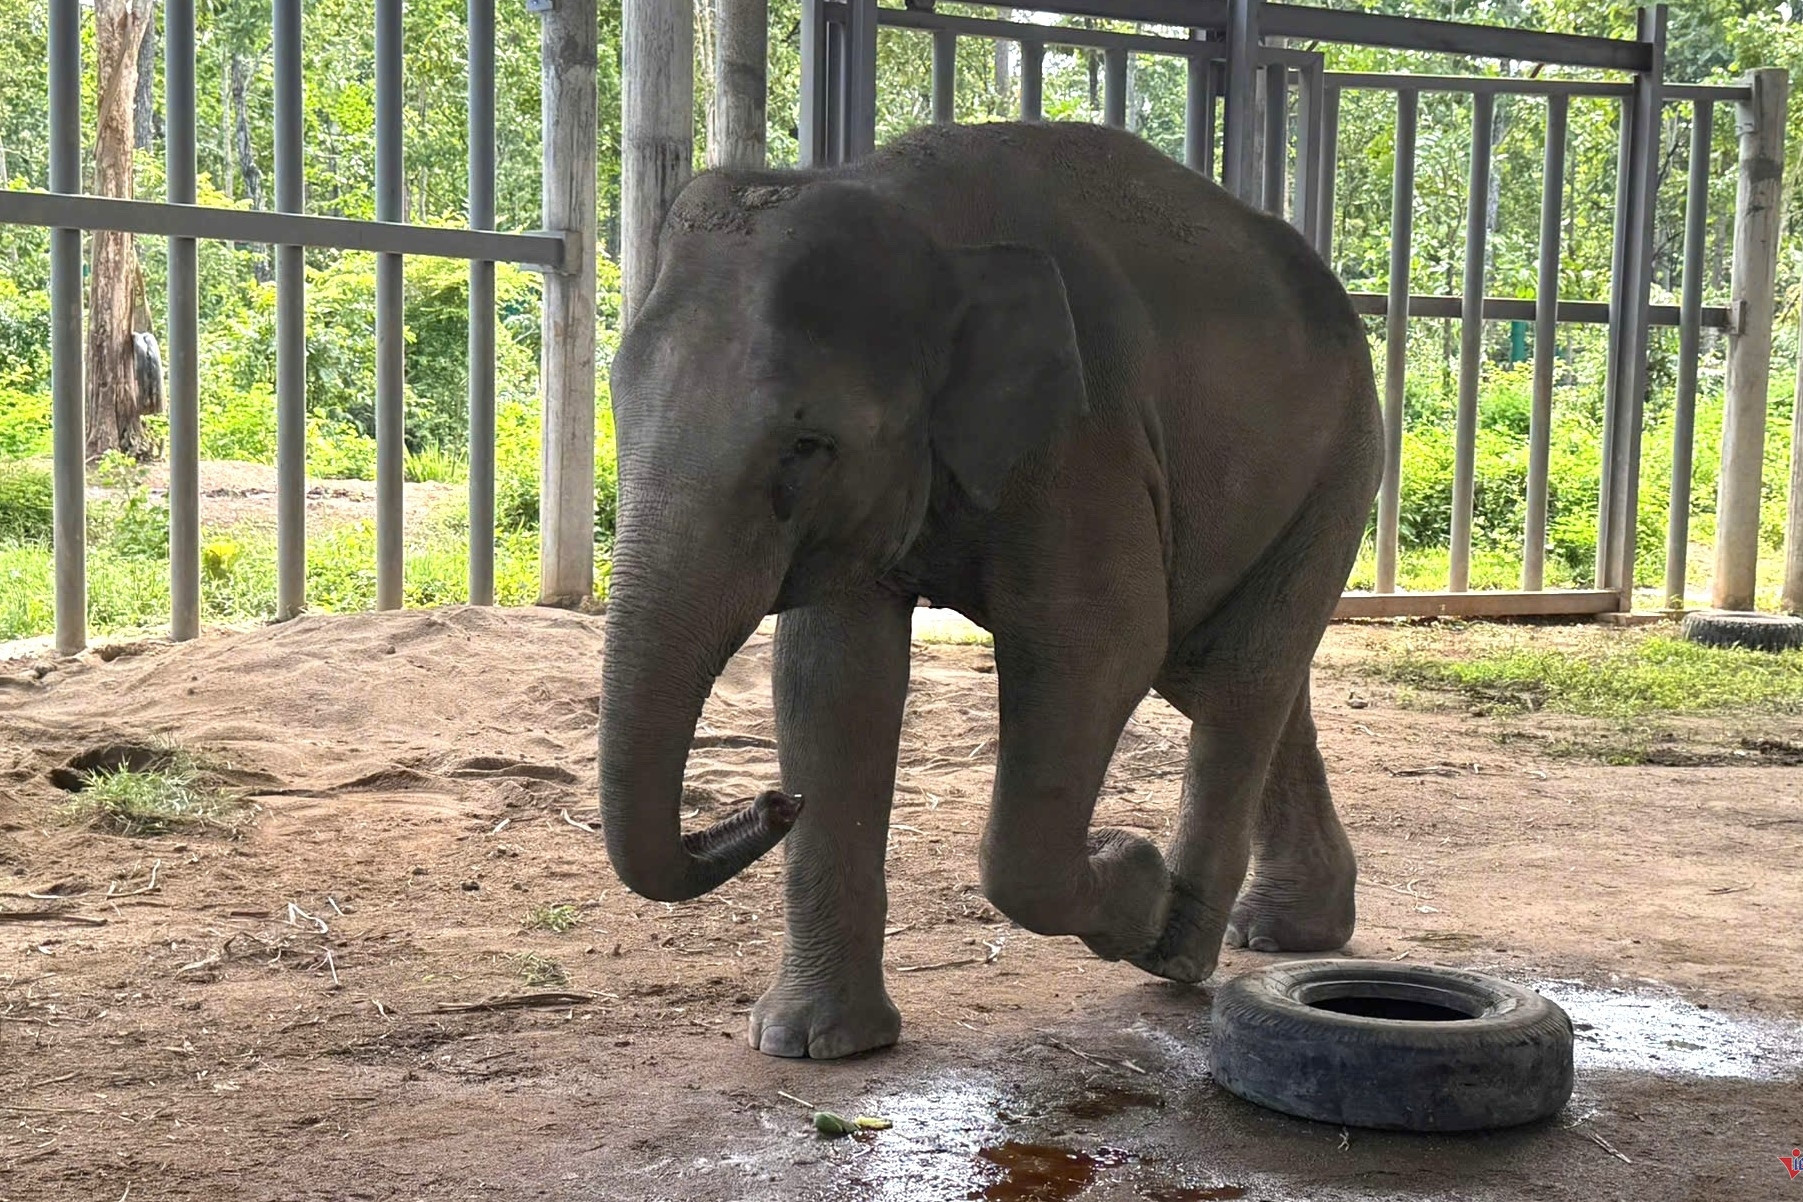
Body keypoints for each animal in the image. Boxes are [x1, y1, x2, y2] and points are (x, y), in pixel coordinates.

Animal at [599, 119, 1383, 1060]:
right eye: (616, 405)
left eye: (807, 445)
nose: (773, 800)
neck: (908, 208)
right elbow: (830, 679)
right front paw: (814, 1045)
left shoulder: (1084, 430)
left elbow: (1098, 645)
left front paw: (1134, 875)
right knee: (1224, 670)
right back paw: (1281, 932)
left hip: (1341, 460)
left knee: (1235, 675)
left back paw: (1178, 949)